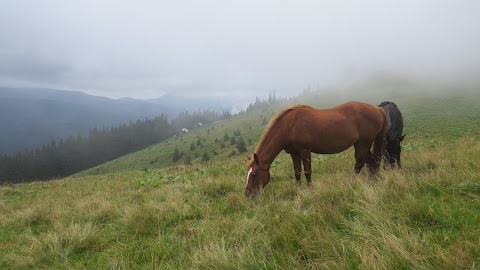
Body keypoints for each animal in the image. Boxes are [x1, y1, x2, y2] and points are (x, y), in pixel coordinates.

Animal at [246, 101, 388, 196]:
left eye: (253, 174)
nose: (247, 194)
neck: (291, 126)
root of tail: (377, 109)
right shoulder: (294, 153)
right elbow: (297, 172)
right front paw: (298, 190)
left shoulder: (305, 151)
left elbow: (307, 171)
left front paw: (310, 189)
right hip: (361, 144)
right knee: (371, 161)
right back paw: (372, 181)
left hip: (364, 143)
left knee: (360, 163)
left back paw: (351, 182)